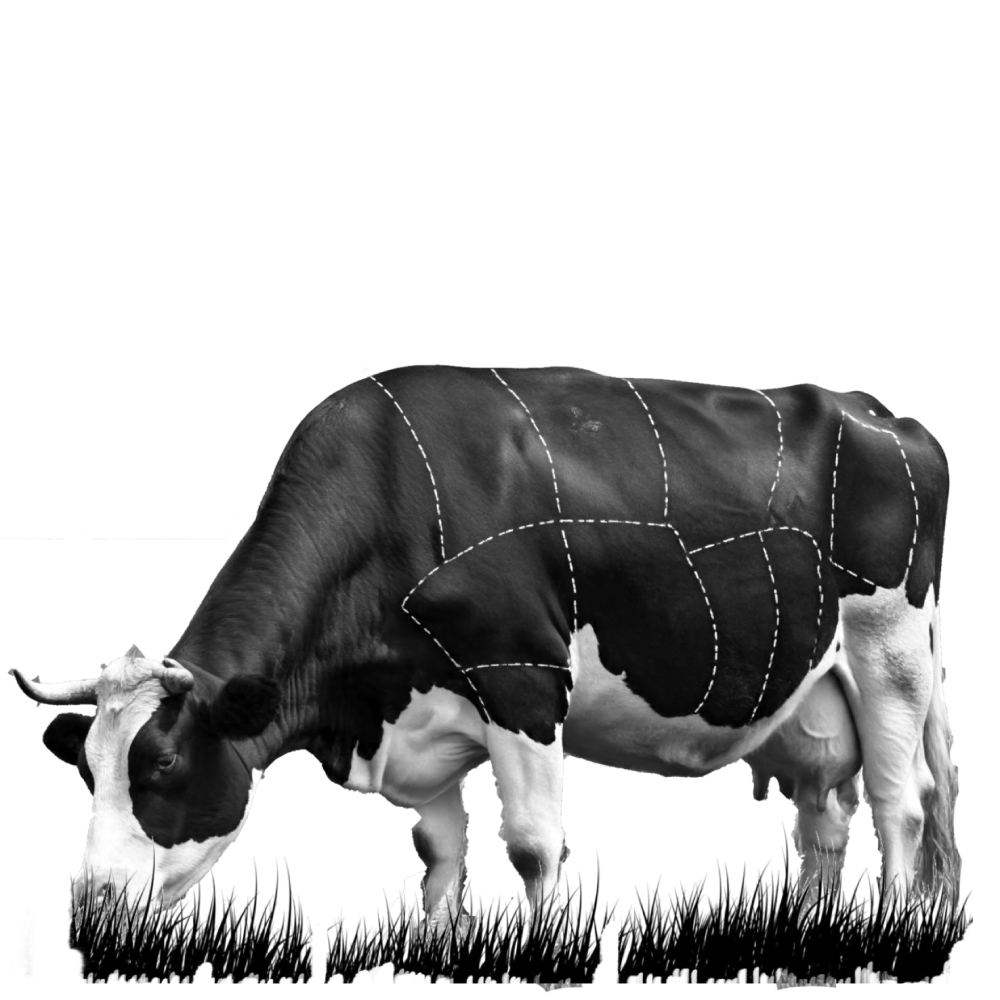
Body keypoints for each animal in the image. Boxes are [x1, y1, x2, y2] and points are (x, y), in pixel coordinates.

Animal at [11, 365, 960, 939]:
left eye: (163, 767)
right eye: (85, 771)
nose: (89, 904)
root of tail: (886, 416)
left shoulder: (524, 679)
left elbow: (534, 842)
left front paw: (544, 950)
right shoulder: (414, 712)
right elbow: (438, 852)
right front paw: (438, 941)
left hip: (890, 654)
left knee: (900, 800)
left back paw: (894, 924)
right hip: (812, 698)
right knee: (825, 813)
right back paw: (811, 924)